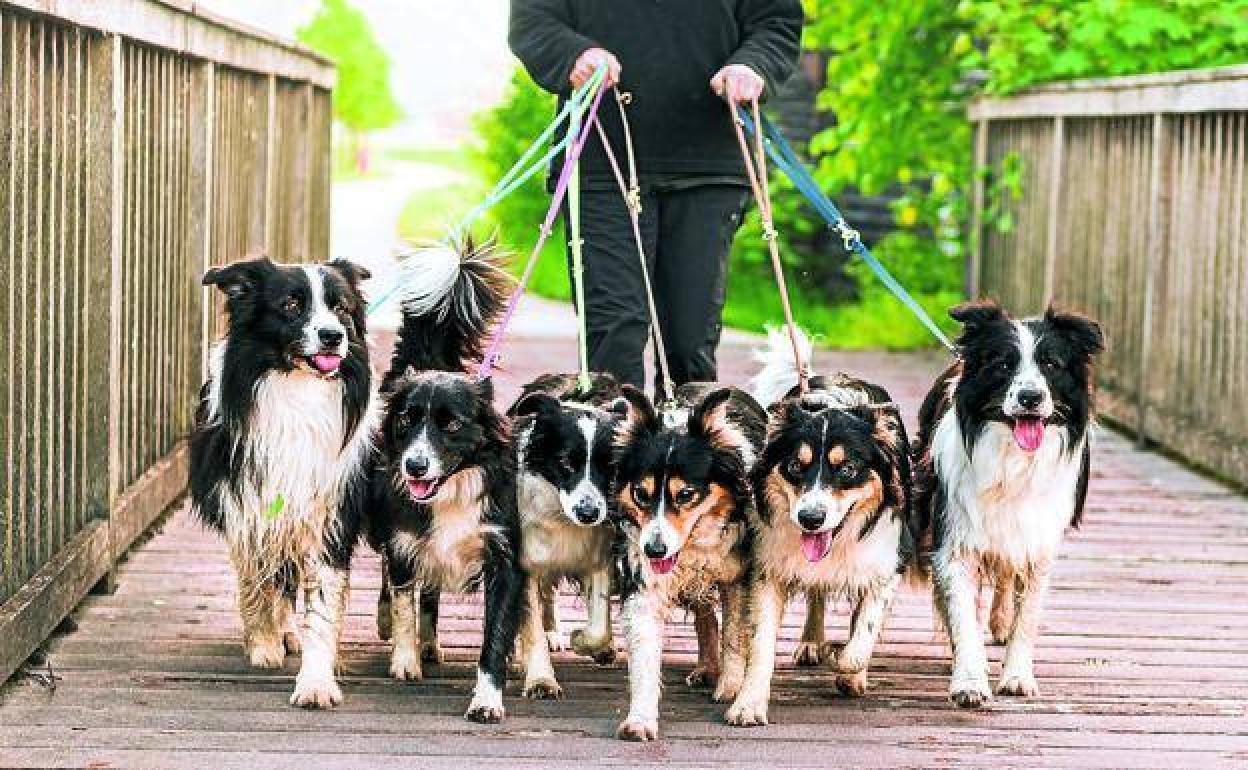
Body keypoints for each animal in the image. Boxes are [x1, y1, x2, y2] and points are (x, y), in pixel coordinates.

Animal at [189, 253, 374, 708]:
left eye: (341, 308)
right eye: (291, 305)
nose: (332, 336)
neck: (298, 392)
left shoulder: (327, 519)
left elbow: (322, 608)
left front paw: (316, 681)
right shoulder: (248, 507)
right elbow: (256, 584)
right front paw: (264, 645)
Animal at [506, 371, 624, 698]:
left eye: (609, 467)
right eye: (566, 462)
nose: (589, 514)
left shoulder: (599, 555)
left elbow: (599, 623)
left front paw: (585, 641)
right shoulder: (524, 561)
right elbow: (529, 625)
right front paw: (541, 680)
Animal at [609, 384, 763, 738]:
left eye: (686, 494)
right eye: (640, 493)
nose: (654, 550)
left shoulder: (738, 577)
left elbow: (734, 635)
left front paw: (731, 688)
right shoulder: (643, 583)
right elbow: (644, 656)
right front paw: (640, 719)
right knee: (705, 617)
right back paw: (706, 667)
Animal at [728, 326, 918, 723]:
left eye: (848, 469)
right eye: (793, 466)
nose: (810, 519)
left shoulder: (888, 560)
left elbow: (862, 636)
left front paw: (846, 665)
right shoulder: (769, 565)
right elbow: (762, 644)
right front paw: (749, 703)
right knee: (815, 591)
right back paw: (812, 642)